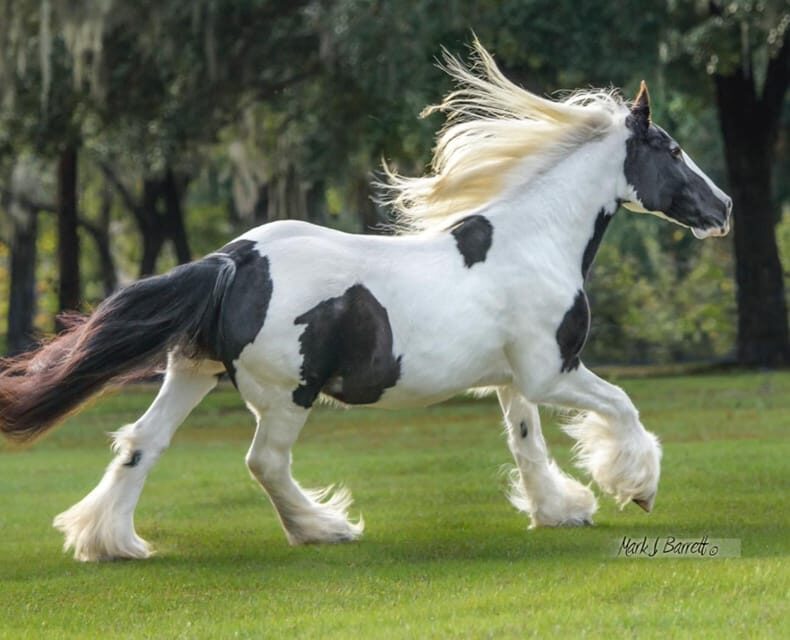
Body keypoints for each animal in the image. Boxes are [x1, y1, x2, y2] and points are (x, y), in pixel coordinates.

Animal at [0, 41, 731, 561]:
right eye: (671, 148)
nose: (722, 209)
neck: (534, 239)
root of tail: (234, 260)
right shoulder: (553, 373)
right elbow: (623, 407)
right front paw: (636, 488)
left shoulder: (515, 380)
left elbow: (527, 445)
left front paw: (562, 509)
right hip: (286, 393)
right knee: (263, 462)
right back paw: (325, 529)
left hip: (193, 372)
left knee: (141, 442)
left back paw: (110, 543)